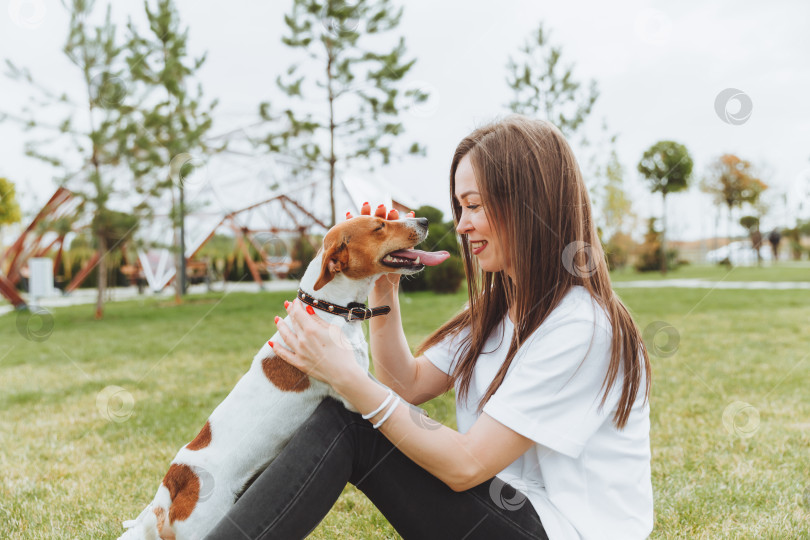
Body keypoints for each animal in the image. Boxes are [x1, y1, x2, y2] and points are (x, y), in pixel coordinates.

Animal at [118, 215, 448, 540]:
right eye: (379, 226)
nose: (424, 219)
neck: (330, 310)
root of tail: (172, 485)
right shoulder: (348, 393)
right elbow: (393, 397)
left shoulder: (359, 374)